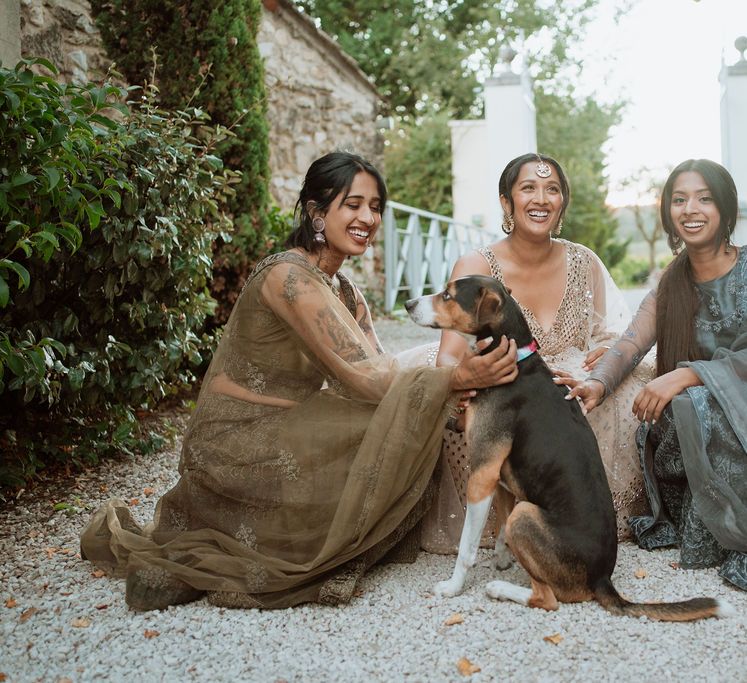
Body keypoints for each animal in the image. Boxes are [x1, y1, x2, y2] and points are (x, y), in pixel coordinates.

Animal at [406, 276, 732, 624]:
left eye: (448, 295)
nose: (407, 304)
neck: (516, 363)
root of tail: (602, 579)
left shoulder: (482, 474)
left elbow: (467, 547)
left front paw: (454, 586)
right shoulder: (500, 477)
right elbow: (499, 528)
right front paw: (503, 559)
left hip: (525, 514)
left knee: (547, 598)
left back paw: (500, 589)